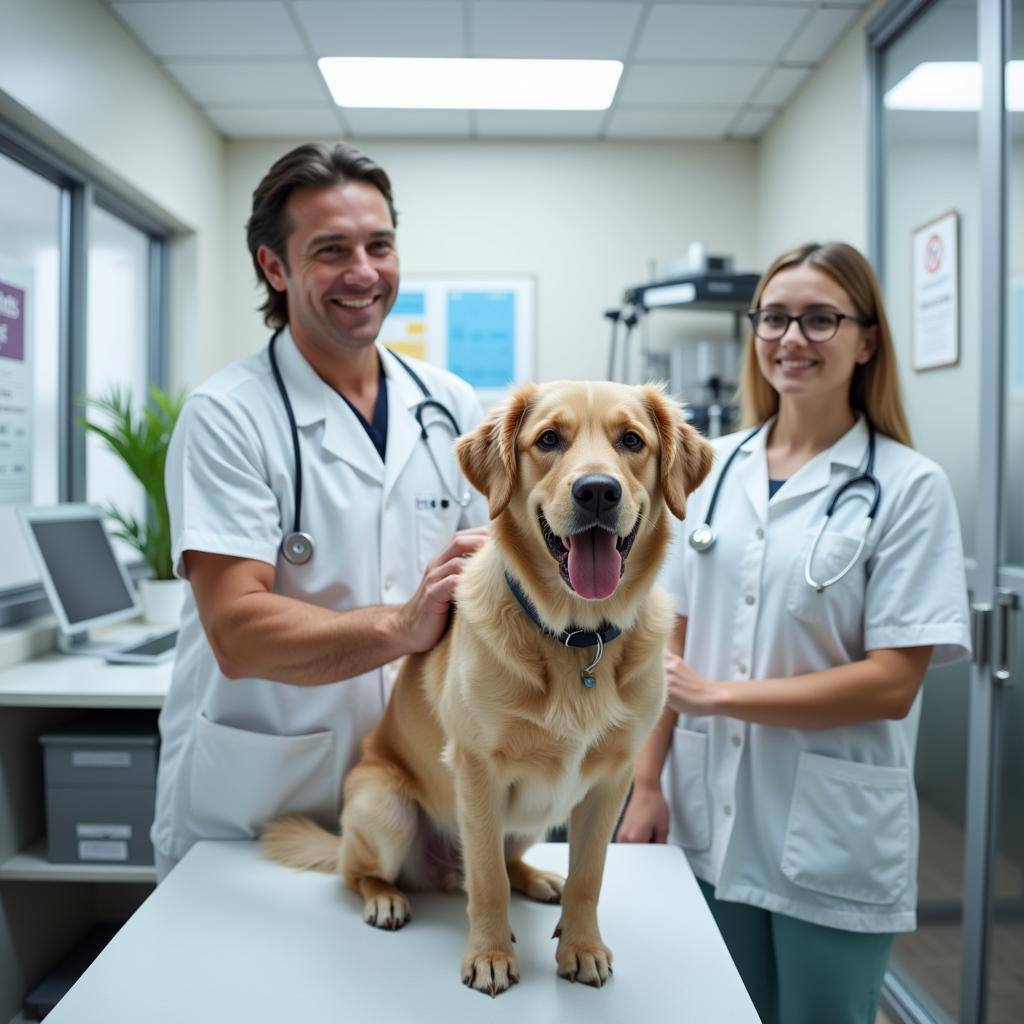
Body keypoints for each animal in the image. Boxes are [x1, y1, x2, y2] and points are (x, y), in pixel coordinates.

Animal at [262, 380, 712, 995]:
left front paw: (581, 946)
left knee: (507, 862)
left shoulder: (612, 781)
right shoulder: (476, 771)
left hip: (533, 820)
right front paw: (491, 956)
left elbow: (588, 876)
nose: (597, 491)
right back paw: (385, 897)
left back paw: (539, 878)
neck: (577, 637)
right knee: (363, 873)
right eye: (548, 439)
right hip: (384, 807)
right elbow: (488, 880)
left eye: (631, 441)